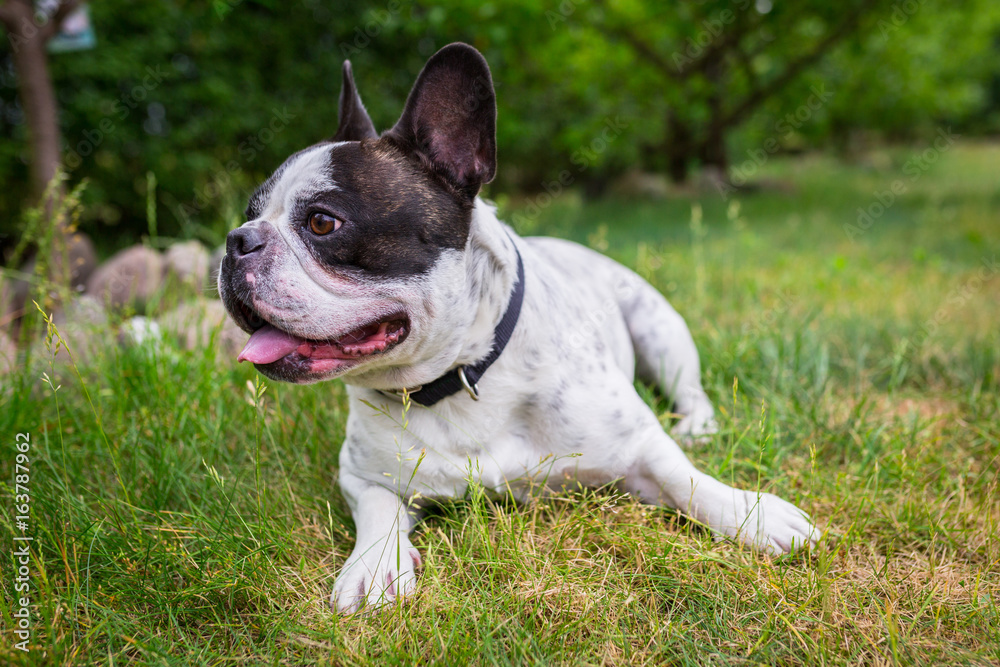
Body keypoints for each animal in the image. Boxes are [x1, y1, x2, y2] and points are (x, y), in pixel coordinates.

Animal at [217, 43, 812, 616]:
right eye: (248, 211)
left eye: (323, 222)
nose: (236, 240)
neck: (464, 374)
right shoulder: (360, 474)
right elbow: (378, 507)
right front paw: (374, 566)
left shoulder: (638, 444)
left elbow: (682, 476)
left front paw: (752, 513)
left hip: (659, 327)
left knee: (691, 390)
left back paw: (699, 425)